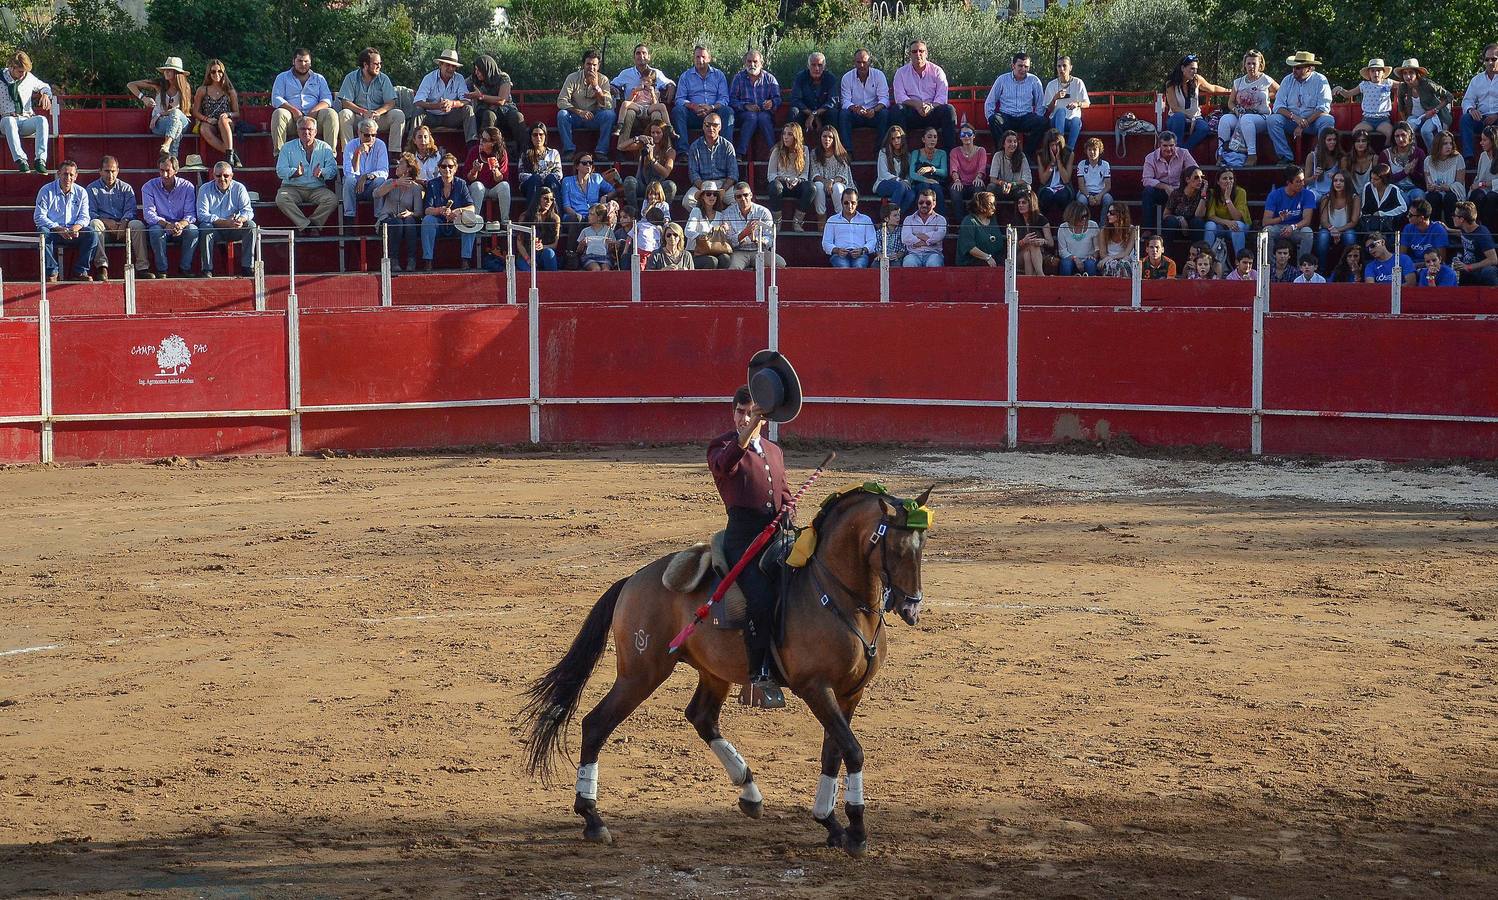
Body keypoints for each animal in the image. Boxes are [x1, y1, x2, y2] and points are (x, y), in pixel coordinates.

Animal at [521, 485, 928, 856]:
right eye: (897, 548)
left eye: (922, 545)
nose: (911, 606)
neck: (838, 596)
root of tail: (633, 579)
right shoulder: (816, 688)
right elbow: (853, 751)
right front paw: (856, 832)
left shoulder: (849, 692)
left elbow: (835, 752)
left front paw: (830, 823)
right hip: (641, 672)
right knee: (596, 724)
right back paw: (592, 818)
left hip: (711, 672)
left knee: (701, 717)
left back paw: (749, 792)